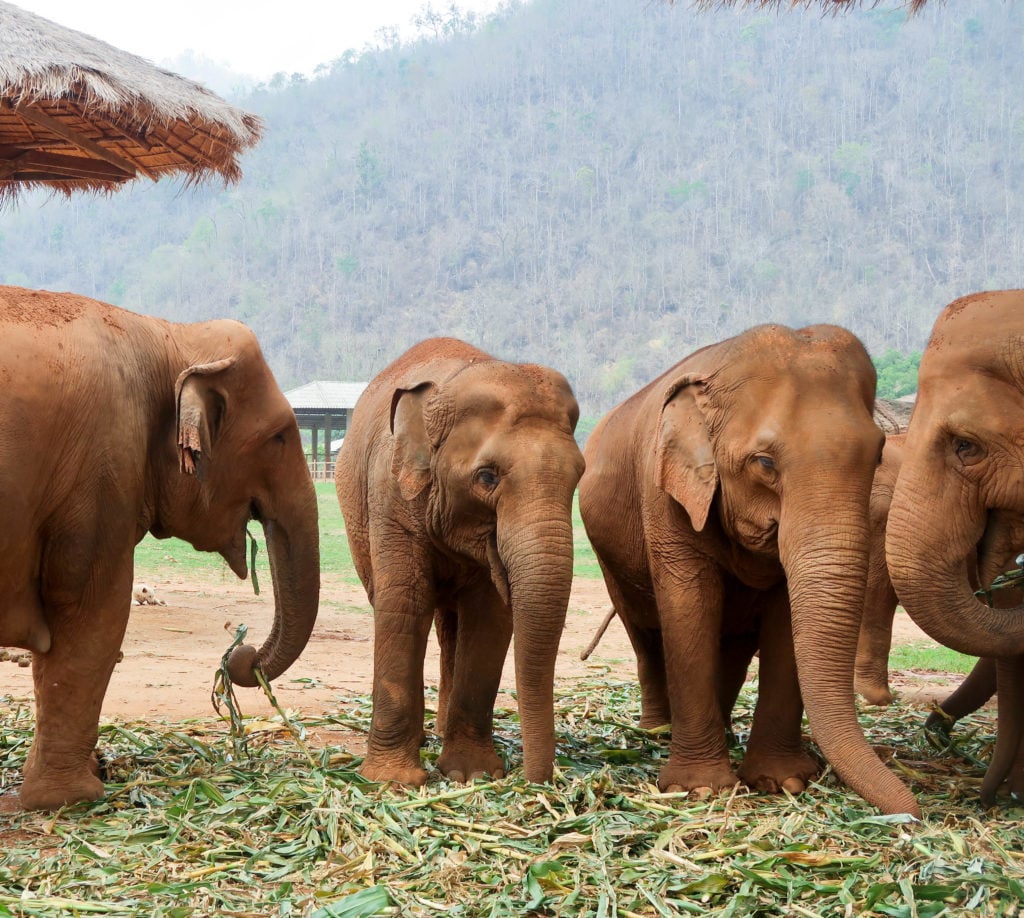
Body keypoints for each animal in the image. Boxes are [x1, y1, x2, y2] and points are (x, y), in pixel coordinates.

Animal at [0, 286, 319, 811]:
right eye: (278, 437)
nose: (241, 650)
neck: (168, 334)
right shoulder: (102, 468)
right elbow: (92, 615)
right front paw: (72, 797)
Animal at [333, 340, 585, 786]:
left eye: (579, 475)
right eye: (487, 477)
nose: (538, 780)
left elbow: (490, 619)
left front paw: (472, 774)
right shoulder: (390, 496)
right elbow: (404, 605)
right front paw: (393, 782)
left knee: (451, 627)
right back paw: (421, 739)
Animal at [577, 323, 921, 819]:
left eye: (876, 456)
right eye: (765, 463)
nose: (912, 811)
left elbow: (785, 619)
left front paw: (785, 782)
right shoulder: (664, 495)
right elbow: (690, 606)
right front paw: (701, 790)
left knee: (734, 645)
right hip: (610, 557)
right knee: (644, 633)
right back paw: (657, 731)